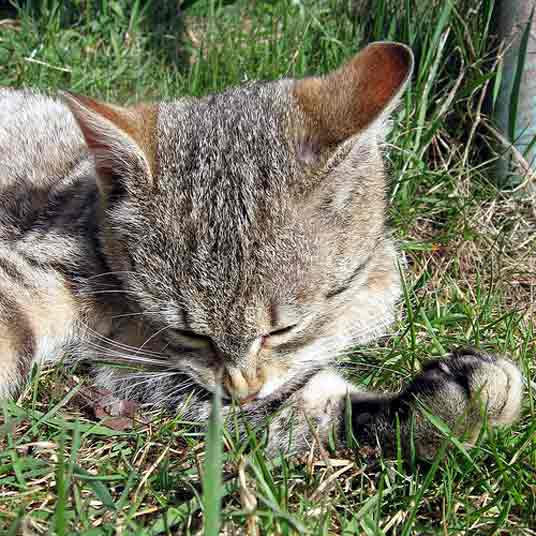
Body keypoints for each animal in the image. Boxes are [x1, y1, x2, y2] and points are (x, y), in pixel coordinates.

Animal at [0, 43, 520, 460]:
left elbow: (300, 405)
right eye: (189, 332)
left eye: (282, 329)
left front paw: (440, 418)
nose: (242, 388)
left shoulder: (146, 369)